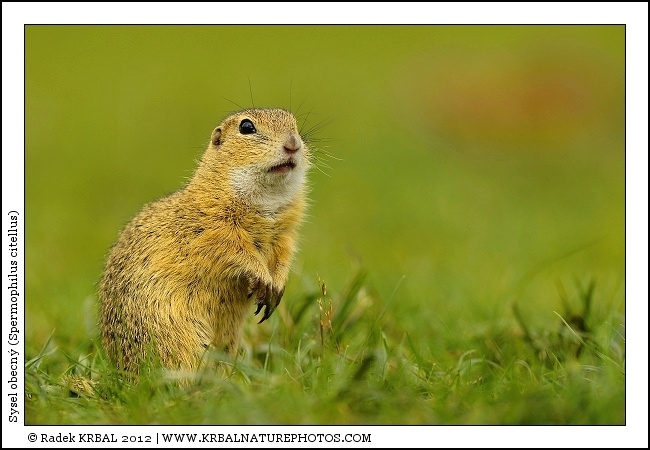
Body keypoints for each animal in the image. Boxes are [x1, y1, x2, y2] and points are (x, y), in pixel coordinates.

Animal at [99, 108, 310, 373]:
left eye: (295, 125)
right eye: (247, 127)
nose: (293, 144)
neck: (266, 203)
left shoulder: (285, 235)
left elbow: (283, 258)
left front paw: (277, 285)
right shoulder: (214, 231)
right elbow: (237, 253)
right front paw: (261, 277)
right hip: (177, 336)